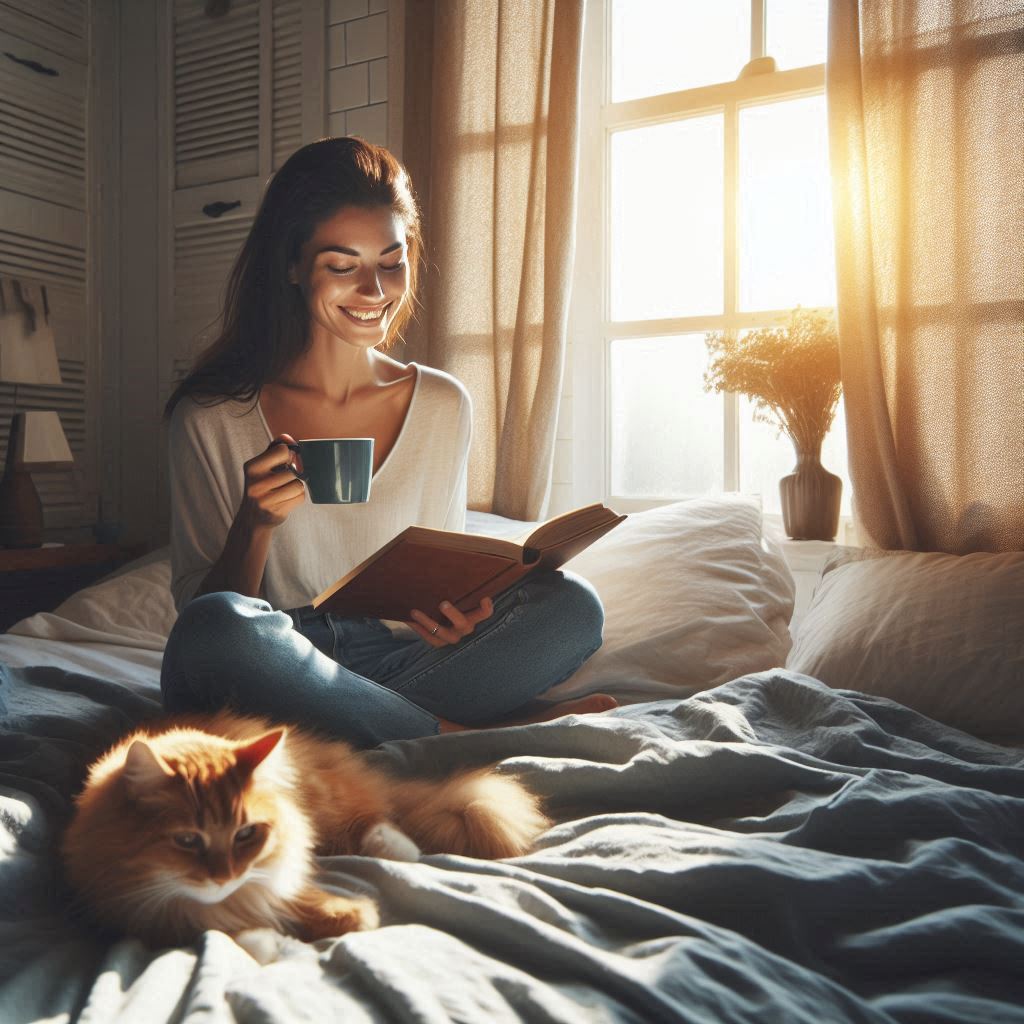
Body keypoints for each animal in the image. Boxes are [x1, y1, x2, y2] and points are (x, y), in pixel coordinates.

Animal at [61, 712, 552, 942]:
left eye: (246, 834)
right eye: (186, 841)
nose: (225, 876)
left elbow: (301, 898)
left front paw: (351, 915)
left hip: (327, 803)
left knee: (376, 817)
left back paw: (399, 848)